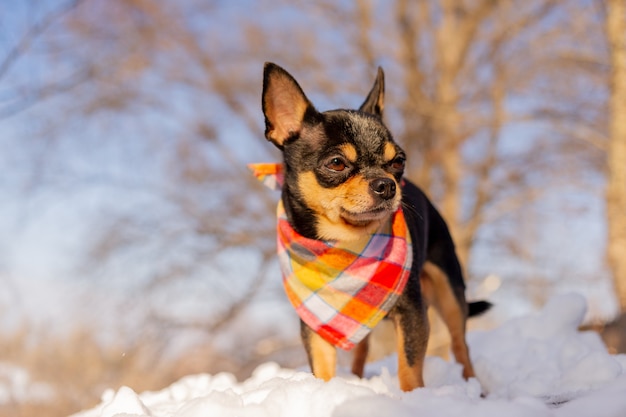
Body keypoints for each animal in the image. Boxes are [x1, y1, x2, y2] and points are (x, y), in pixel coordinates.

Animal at [258, 61, 488, 390]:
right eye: (337, 163)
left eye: (398, 161)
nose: (387, 184)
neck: (342, 244)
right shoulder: (315, 324)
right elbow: (322, 369)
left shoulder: (413, 312)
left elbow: (409, 367)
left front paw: (411, 396)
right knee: (362, 347)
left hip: (450, 292)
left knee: (460, 346)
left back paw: (474, 388)